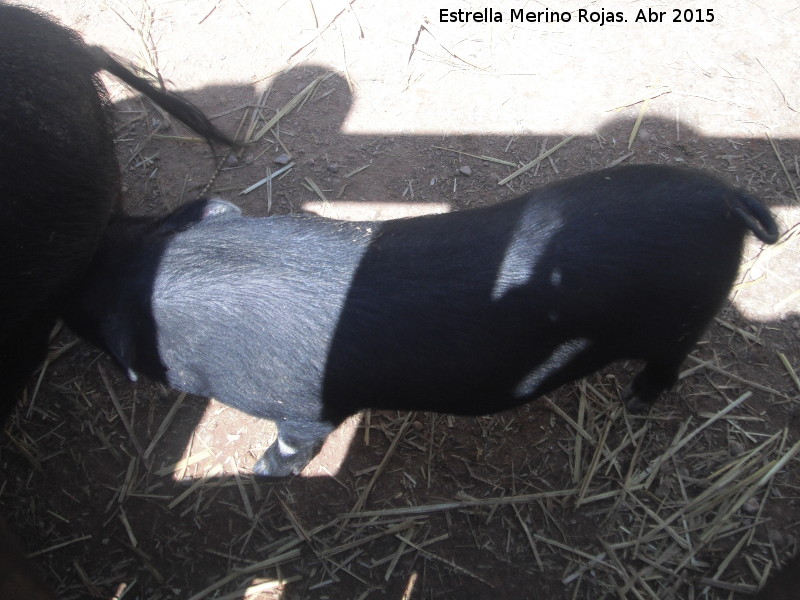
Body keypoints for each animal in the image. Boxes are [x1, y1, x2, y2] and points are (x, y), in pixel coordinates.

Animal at [64, 163, 780, 474]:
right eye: (132, 227)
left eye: (93, 313)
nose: (71, 273)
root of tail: (725, 196)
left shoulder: (306, 405)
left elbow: (297, 442)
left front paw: (262, 473)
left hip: (684, 318)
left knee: (671, 361)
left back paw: (635, 399)